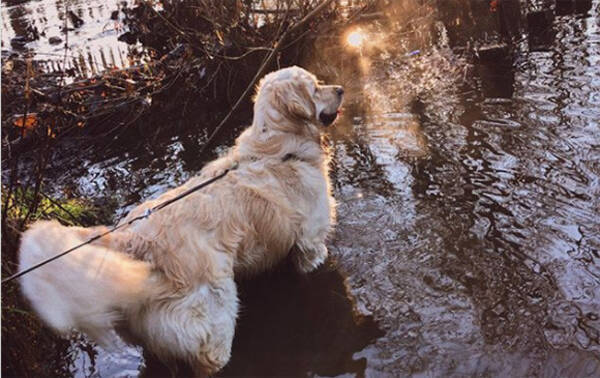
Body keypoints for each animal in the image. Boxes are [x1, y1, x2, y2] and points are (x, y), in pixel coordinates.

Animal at [18, 65, 344, 376]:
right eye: (316, 87)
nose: (341, 89)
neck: (280, 150)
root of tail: (133, 239)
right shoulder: (310, 242)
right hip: (214, 319)